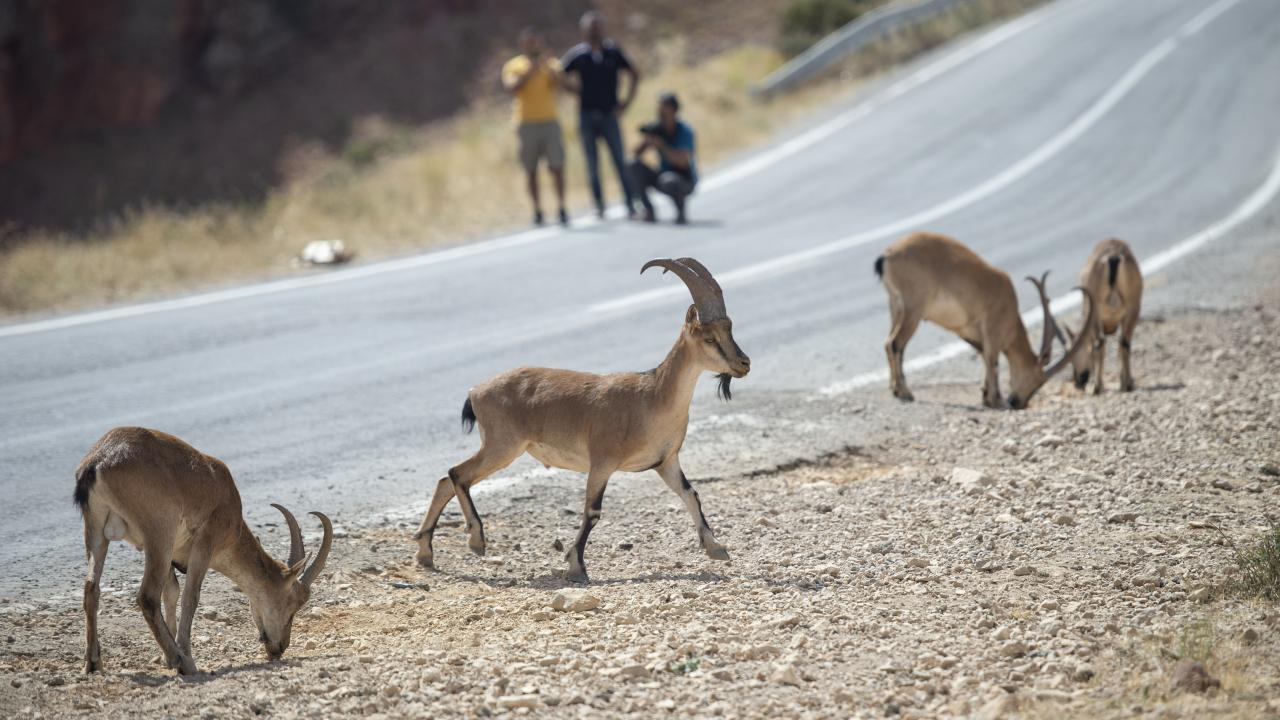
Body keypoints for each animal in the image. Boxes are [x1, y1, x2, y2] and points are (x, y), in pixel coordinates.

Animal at [73, 422, 335, 671]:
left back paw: (93, 662)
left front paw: (167, 656)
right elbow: (191, 596)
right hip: (159, 531)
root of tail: (97, 463)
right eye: (293, 603)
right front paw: (183, 656)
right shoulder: (204, 545)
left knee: (91, 588)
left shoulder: (172, 555)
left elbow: (172, 592)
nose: (279, 648)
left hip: (96, 530)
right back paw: (182, 662)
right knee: (147, 595)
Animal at [409, 254, 747, 579]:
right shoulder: (602, 463)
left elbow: (691, 494)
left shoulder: (666, 462)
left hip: (500, 447)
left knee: (446, 479)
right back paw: (476, 540)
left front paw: (716, 548)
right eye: (709, 338)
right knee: (457, 474)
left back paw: (426, 552)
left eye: (729, 328)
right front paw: (576, 567)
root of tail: (475, 391)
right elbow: (593, 512)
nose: (744, 363)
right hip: (502, 445)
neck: (651, 398)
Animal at [875, 230, 1095, 407]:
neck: (1010, 312)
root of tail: (887, 256)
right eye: (1039, 380)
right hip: (914, 309)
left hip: (896, 307)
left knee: (887, 343)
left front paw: (987, 395)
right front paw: (994, 400)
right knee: (896, 343)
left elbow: (983, 356)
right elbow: (993, 361)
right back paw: (904, 392)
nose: (1018, 403)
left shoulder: (971, 332)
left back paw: (895, 389)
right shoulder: (992, 327)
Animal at [1054, 235, 1146, 392]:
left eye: (1070, 353)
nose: (1078, 381)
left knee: (1100, 342)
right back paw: (1127, 384)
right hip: (1134, 304)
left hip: (1095, 309)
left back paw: (1097, 386)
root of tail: (1112, 258)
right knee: (1124, 342)